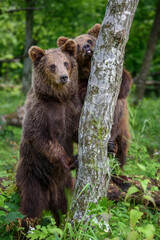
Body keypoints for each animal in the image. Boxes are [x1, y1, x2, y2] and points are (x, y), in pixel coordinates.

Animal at [15, 39, 81, 225]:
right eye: (52, 65)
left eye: (65, 63)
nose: (64, 77)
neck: (57, 98)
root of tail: (50, 195)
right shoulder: (40, 111)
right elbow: (40, 137)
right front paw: (70, 160)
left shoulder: (72, 108)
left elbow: (75, 131)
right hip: (31, 179)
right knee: (29, 211)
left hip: (65, 184)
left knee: (65, 207)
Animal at [57, 24, 131, 170]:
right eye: (77, 45)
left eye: (89, 40)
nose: (86, 47)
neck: (88, 71)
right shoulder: (77, 83)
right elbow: (80, 95)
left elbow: (123, 85)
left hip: (121, 127)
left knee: (122, 149)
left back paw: (114, 149)